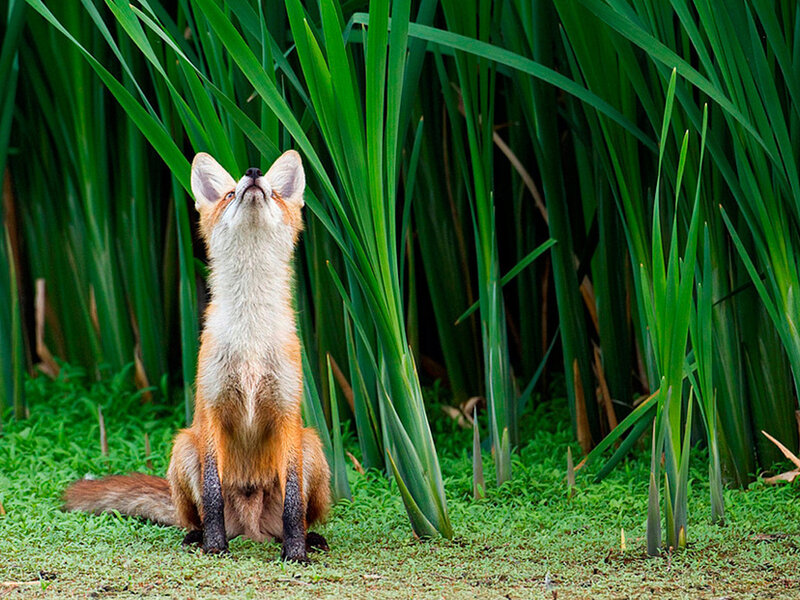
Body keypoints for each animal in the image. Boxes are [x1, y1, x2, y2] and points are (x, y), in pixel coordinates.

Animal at [64, 150, 331, 563]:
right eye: (230, 194)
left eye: (273, 193)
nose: (253, 173)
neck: (250, 338)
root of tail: (251, 528)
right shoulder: (211, 411)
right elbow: (212, 492)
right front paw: (215, 547)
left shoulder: (288, 415)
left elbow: (291, 504)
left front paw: (296, 553)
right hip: (184, 448)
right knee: (197, 515)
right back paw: (197, 537)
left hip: (312, 447)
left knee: (299, 514)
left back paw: (309, 538)